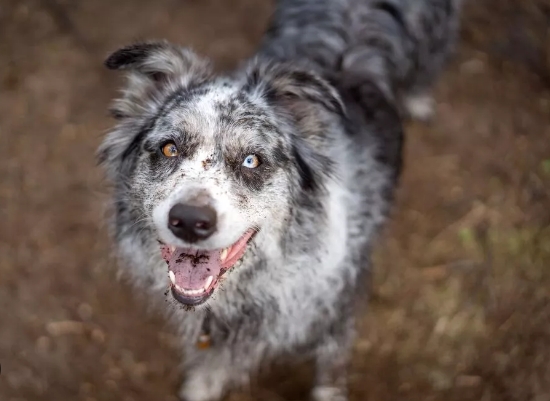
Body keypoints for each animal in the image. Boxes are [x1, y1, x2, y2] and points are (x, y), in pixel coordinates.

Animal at [98, 1, 462, 398]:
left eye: (251, 160)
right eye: (169, 148)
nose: (190, 222)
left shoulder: (338, 317)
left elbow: (330, 375)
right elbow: (209, 370)